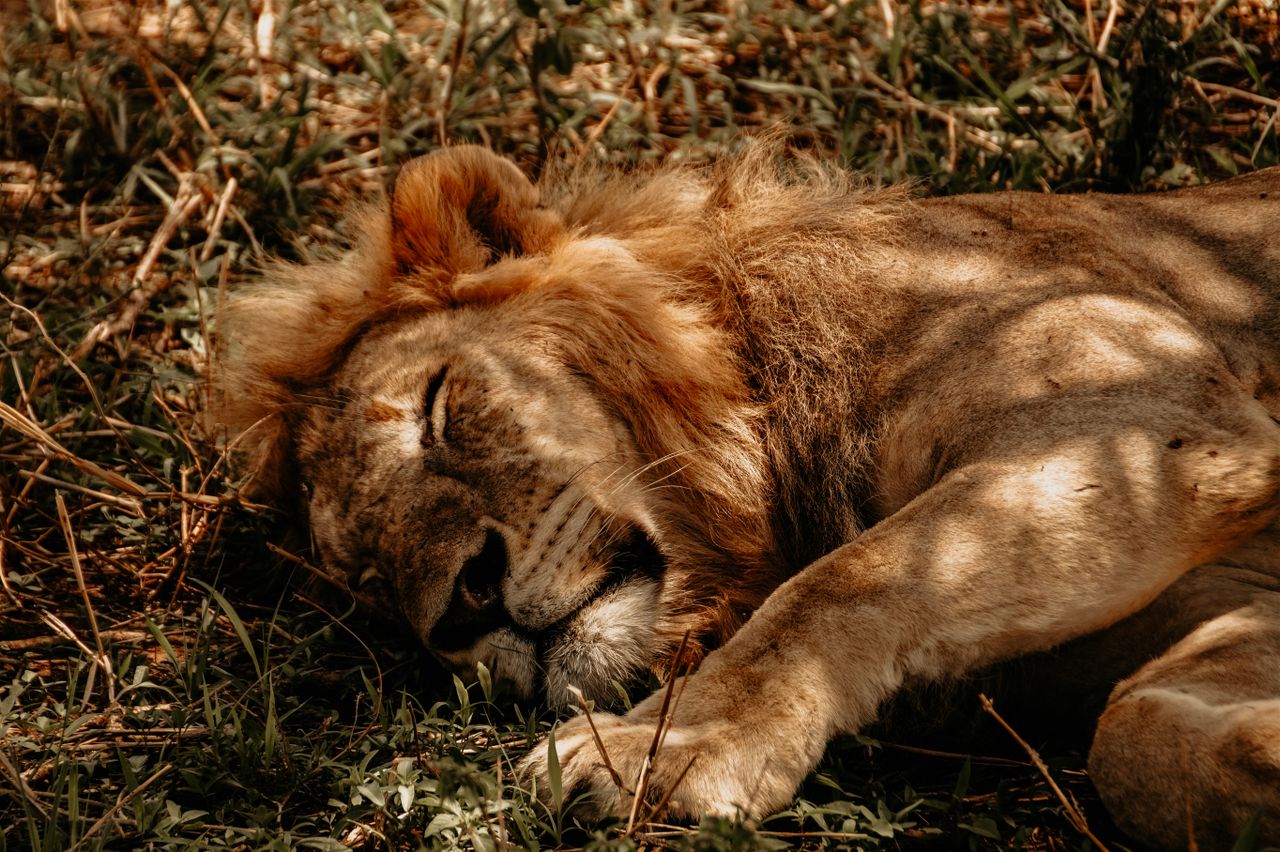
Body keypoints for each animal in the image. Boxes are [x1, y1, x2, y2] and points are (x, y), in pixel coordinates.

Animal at [216, 143, 1280, 848]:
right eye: (372, 583)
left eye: (437, 409)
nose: (461, 609)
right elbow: (1130, 738)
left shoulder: (1140, 416)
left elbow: (846, 582)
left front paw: (662, 747)